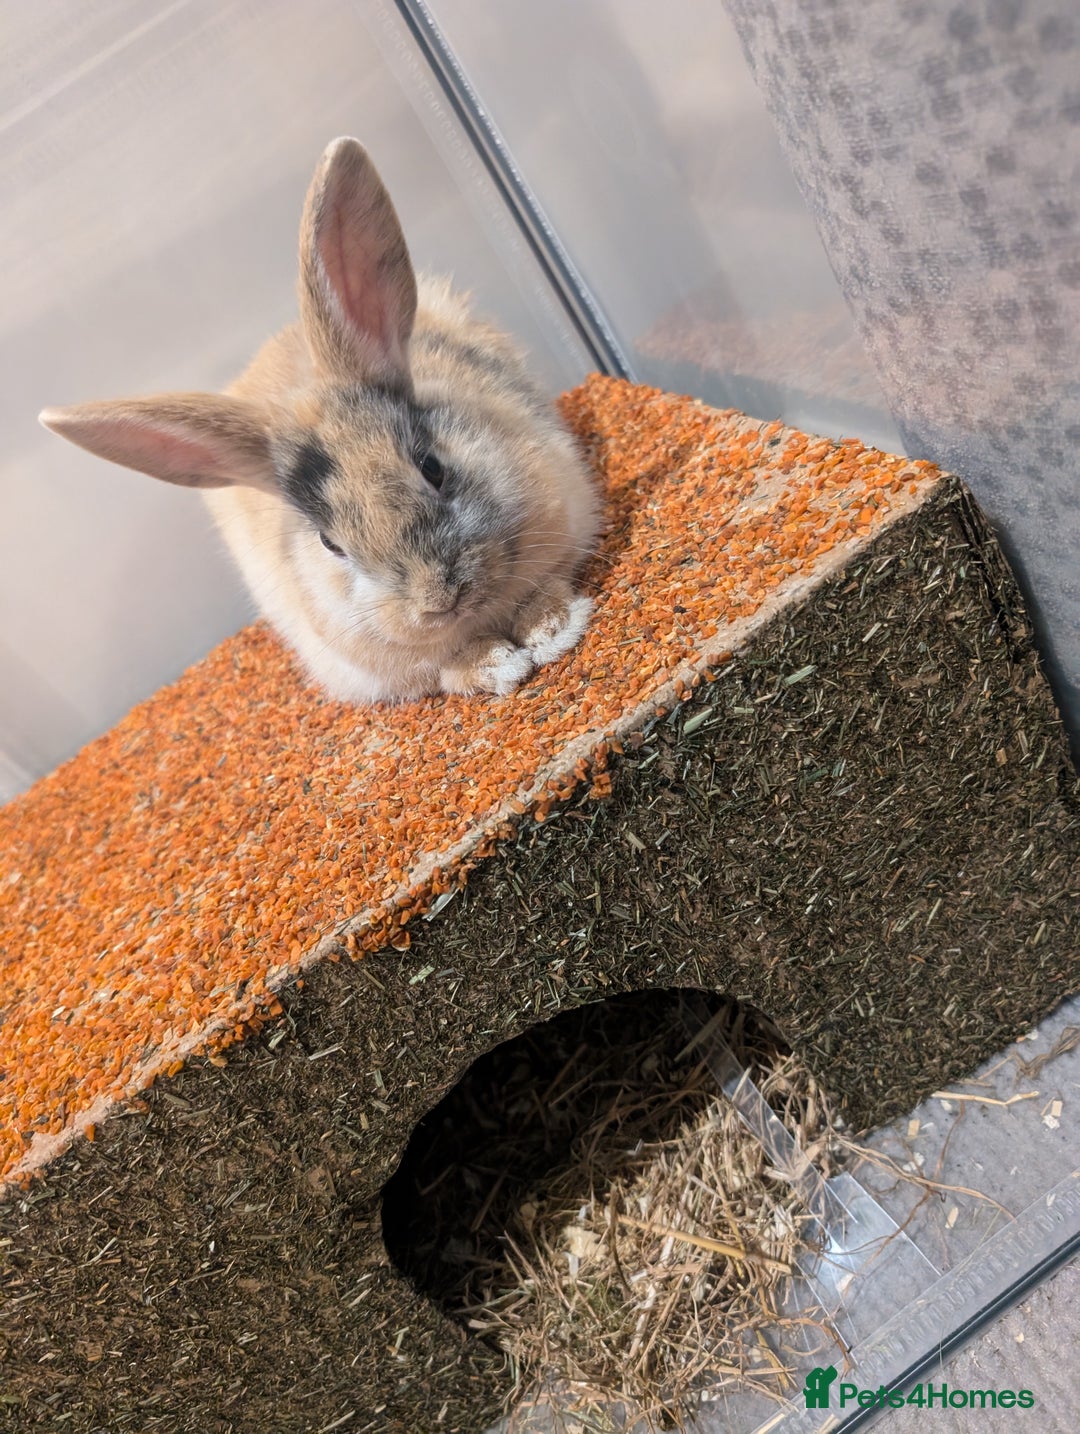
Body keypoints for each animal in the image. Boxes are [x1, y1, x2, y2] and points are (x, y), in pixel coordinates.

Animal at [40, 137, 601, 703]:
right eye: (332, 545)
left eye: (433, 467)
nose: (438, 596)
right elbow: (449, 665)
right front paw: (497, 666)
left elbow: (542, 591)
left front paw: (551, 629)